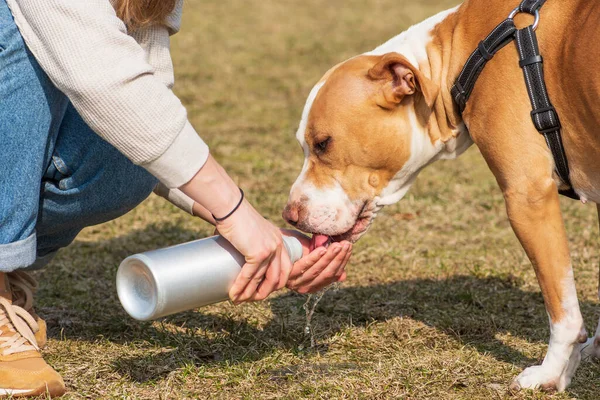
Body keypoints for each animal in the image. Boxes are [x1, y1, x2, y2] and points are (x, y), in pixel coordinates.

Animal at [282, 0, 600, 394]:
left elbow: (562, 308)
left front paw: (550, 373)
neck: (460, 51)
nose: (289, 214)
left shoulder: (527, 198)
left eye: (323, 143)